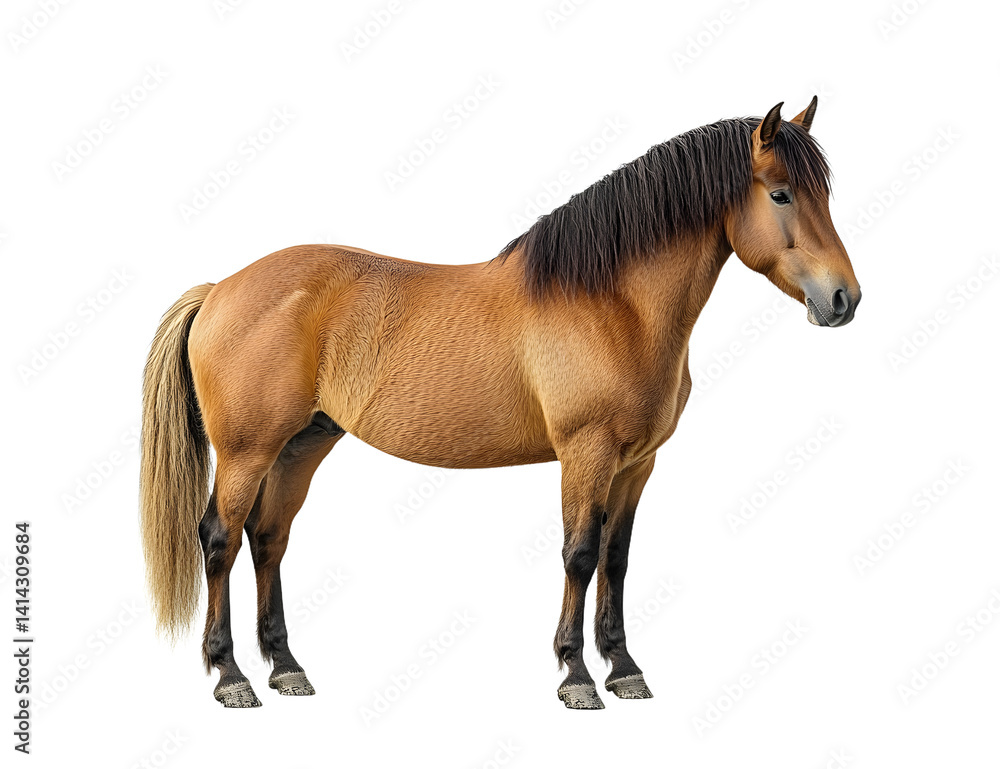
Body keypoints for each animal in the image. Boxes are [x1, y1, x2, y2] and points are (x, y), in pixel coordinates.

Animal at [140, 98, 861, 709]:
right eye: (780, 193)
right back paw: (231, 676)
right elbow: (580, 553)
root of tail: (221, 288)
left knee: (268, 539)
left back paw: (287, 668)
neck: (614, 303)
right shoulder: (586, 454)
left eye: (825, 192)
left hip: (302, 444)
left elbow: (617, 558)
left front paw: (624, 669)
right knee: (220, 539)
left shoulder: (636, 464)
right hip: (247, 451)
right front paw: (576, 675)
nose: (843, 299)